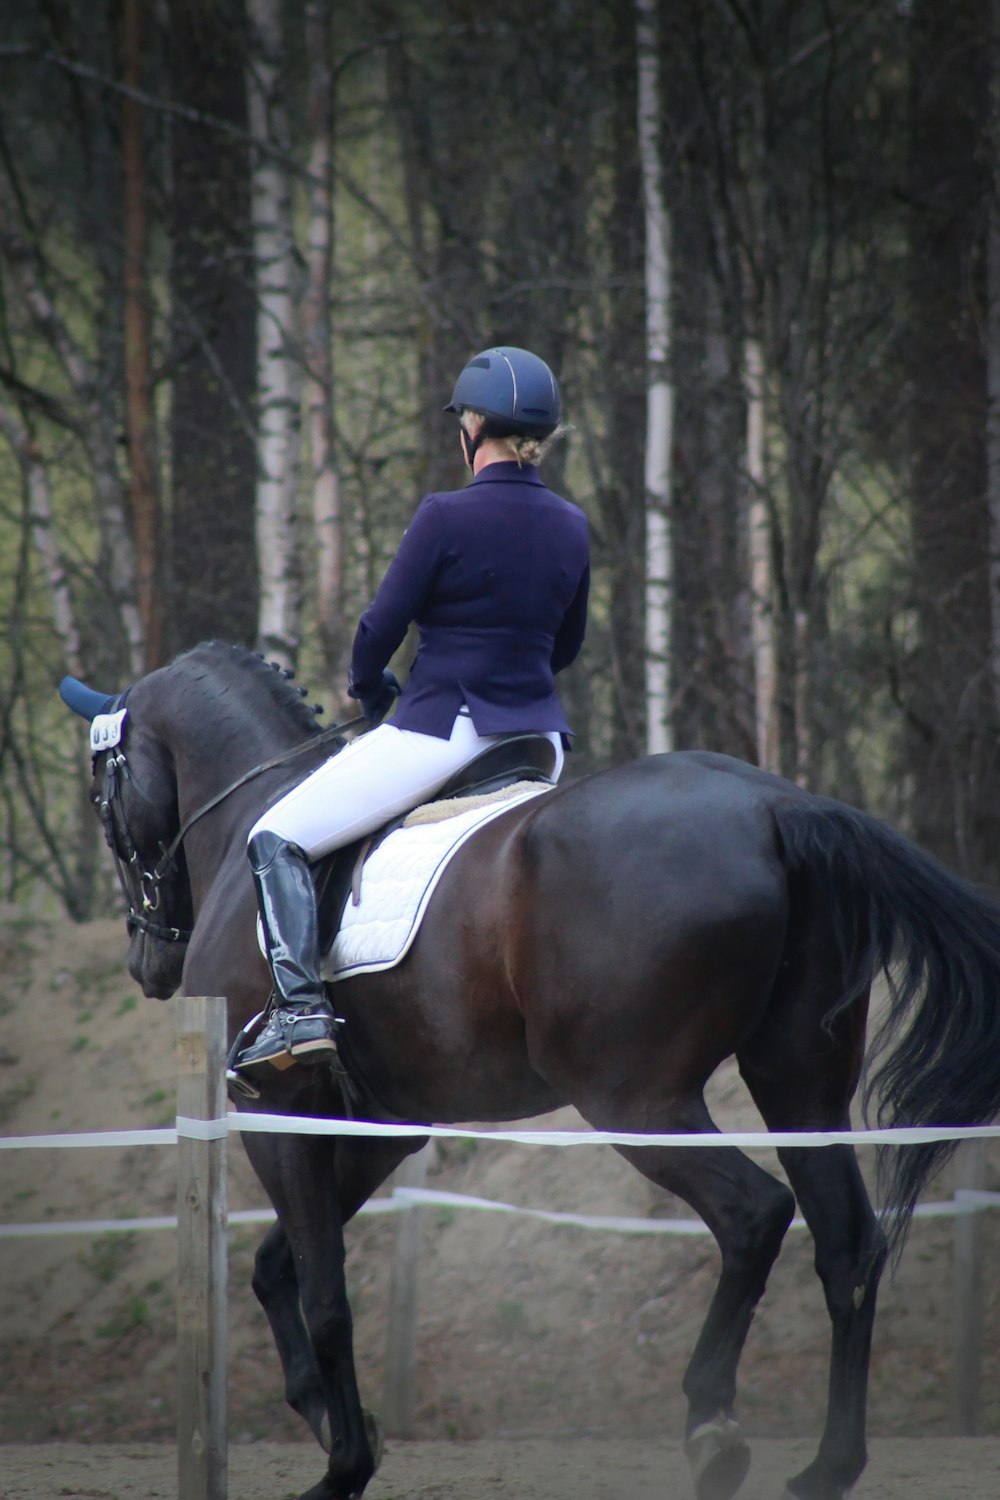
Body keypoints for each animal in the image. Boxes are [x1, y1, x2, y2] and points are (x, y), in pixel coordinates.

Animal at [62, 642, 1000, 1500]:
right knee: (847, 1242)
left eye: (102, 797)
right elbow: (276, 1268)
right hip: (800, 1083)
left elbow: (326, 1291)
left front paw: (343, 1467)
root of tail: (776, 804)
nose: (148, 961)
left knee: (754, 1214)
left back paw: (712, 1428)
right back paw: (826, 1468)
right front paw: (339, 1424)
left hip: (635, 1098)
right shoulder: (379, 1128)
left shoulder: (282, 1113)